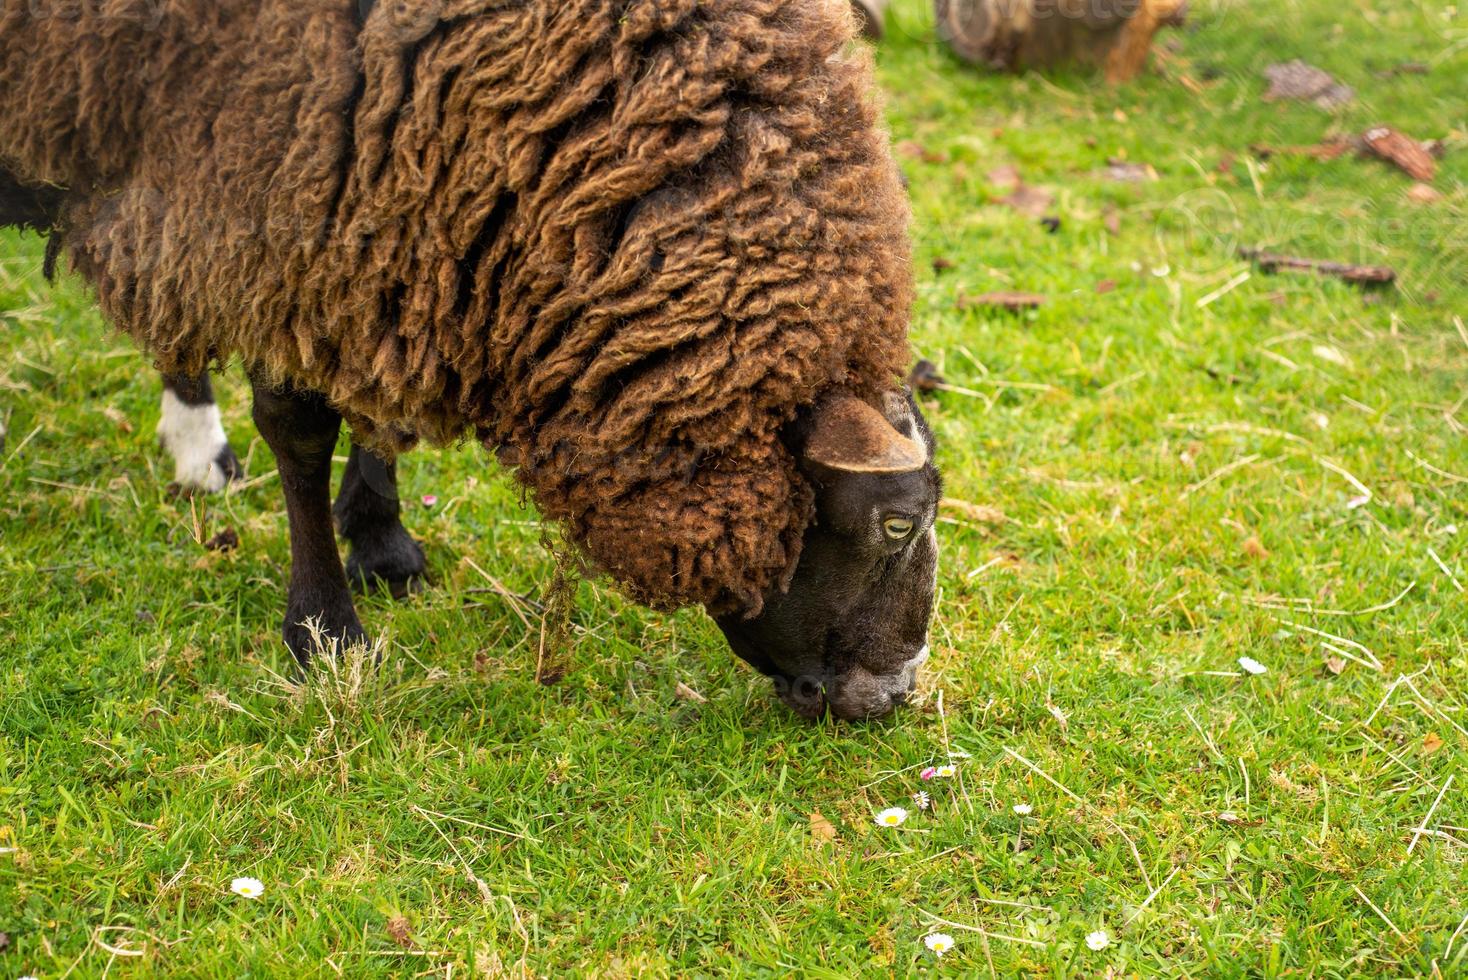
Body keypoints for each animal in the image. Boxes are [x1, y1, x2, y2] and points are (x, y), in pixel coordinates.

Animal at [0, 0, 939, 718]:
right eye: (897, 521)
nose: (892, 697)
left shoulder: (383, 189)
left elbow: (375, 392)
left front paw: (380, 538)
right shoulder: (273, 186)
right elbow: (299, 428)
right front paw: (325, 631)